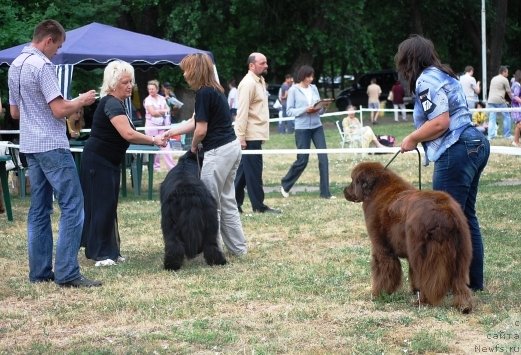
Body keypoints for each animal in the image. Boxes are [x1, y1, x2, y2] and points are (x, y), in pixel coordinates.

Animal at [346, 163, 472, 312]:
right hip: (461, 252)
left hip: (426, 253)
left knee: (429, 280)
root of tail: (446, 212)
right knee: (460, 282)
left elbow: (382, 271)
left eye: (353, 180)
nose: (344, 190)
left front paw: (378, 294)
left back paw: (422, 302)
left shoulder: (382, 248)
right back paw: (464, 306)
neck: (376, 189)